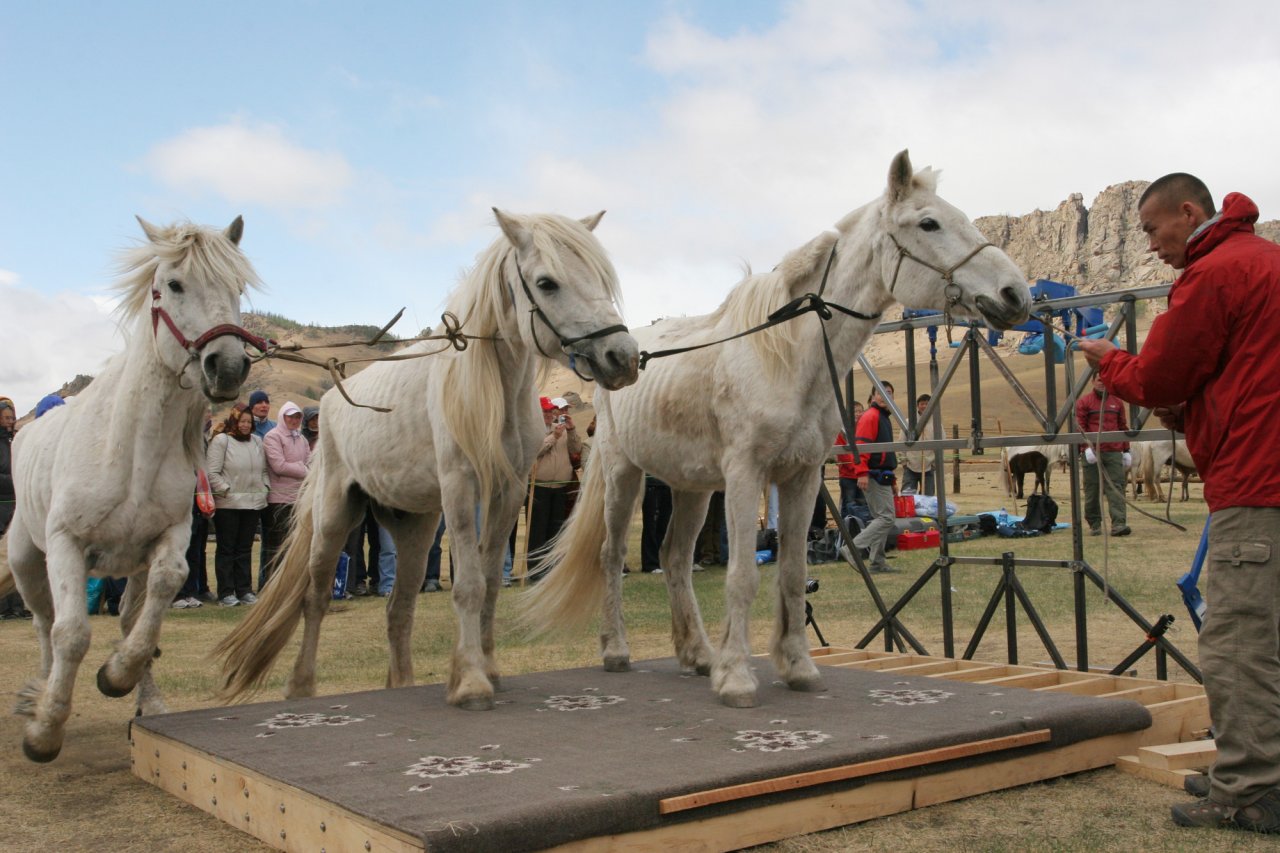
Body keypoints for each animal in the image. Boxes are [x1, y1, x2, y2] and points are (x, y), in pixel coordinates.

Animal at [0, 217, 260, 761]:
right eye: (174, 285)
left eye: (237, 288)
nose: (227, 367)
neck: (131, 452)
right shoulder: (66, 544)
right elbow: (70, 633)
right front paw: (44, 730)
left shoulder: (170, 538)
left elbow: (159, 598)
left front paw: (119, 677)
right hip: (28, 560)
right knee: (42, 624)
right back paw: (38, 694)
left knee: (125, 617)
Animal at [215, 210, 638, 710]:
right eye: (546, 282)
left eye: (601, 278)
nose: (623, 358)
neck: (492, 392)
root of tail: (335, 398)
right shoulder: (460, 488)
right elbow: (469, 584)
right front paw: (471, 681)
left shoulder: (508, 491)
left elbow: (490, 582)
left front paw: (488, 669)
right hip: (335, 516)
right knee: (315, 598)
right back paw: (301, 687)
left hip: (414, 527)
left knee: (399, 607)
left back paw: (401, 682)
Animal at [521, 150, 1031, 708]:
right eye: (929, 223)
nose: (1016, 294)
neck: (790, 359)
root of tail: (621, 354)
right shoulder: (747, 475)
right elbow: (744, 575)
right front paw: (736, 678)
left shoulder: (802, 477)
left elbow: (791, 572)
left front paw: (797, 668)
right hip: (623, 474)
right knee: (612, 555)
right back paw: (617, 650)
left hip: (691, 486)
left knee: (674, 557)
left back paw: (697, 654)